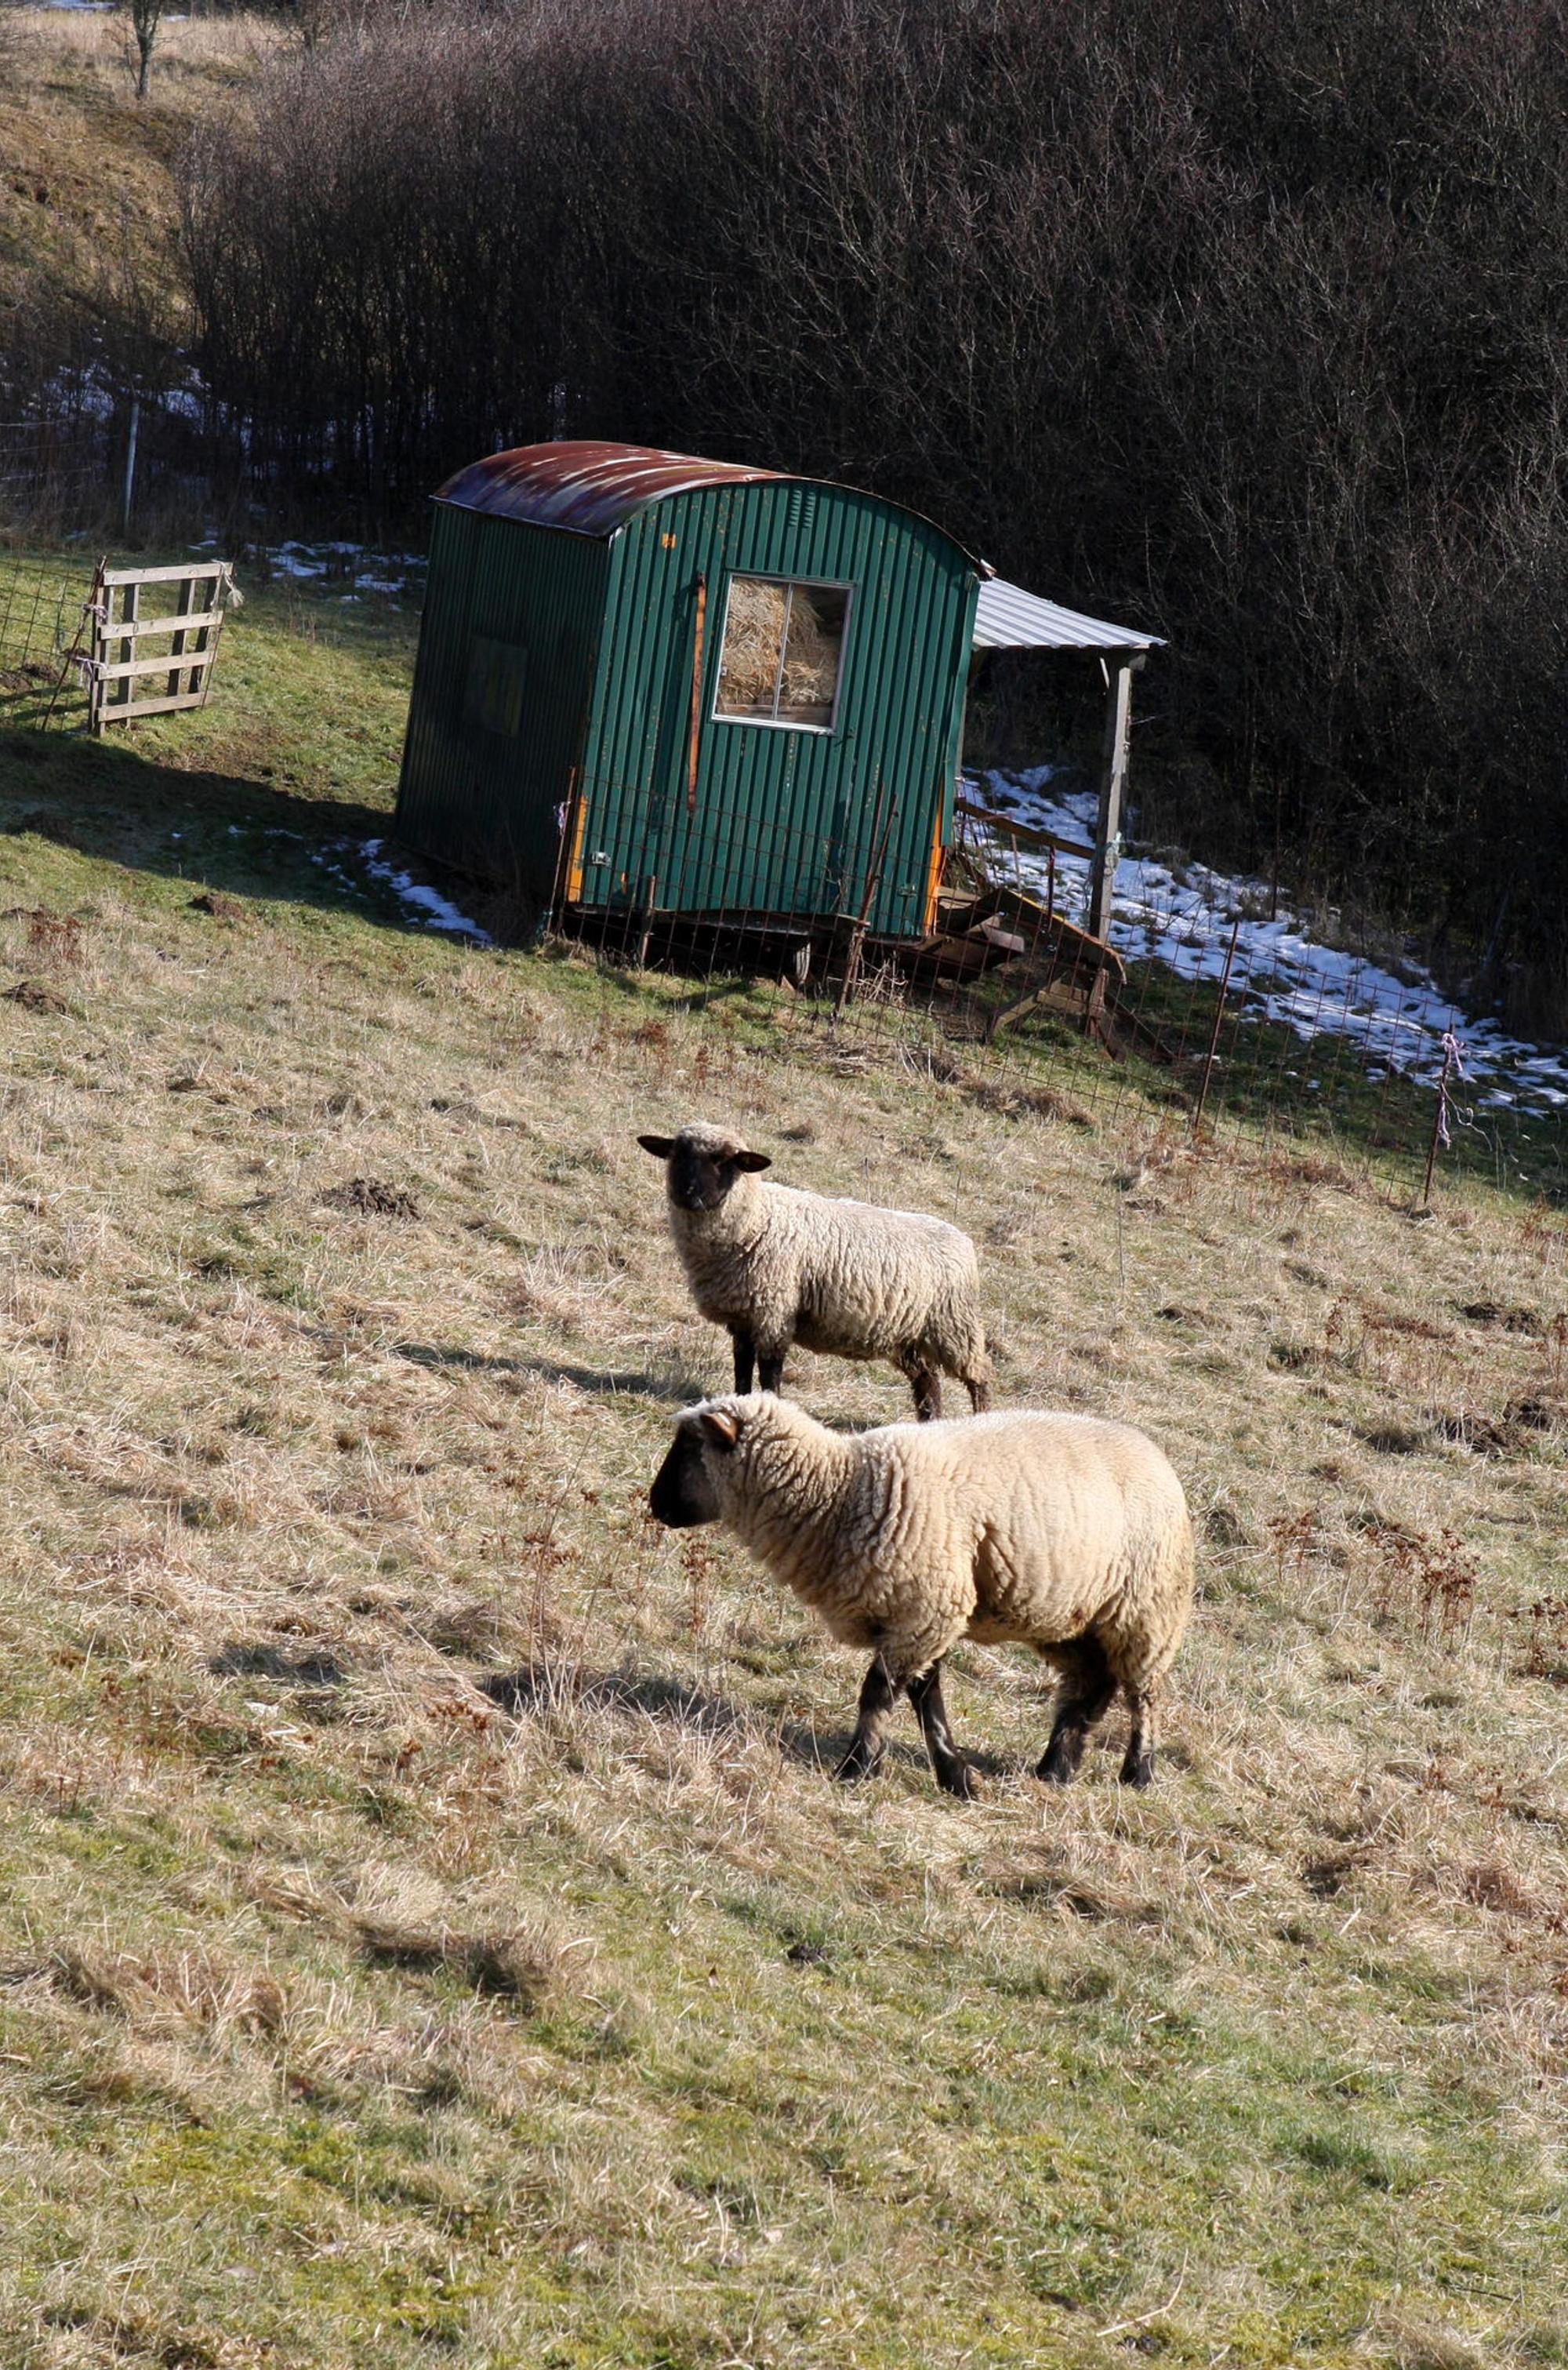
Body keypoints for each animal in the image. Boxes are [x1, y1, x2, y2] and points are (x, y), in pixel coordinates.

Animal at [636, 1121, 992, 1420]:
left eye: (725, 1161)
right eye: (677, 1154)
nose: (687, 1194)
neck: (757, 1220)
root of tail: (963, 1240)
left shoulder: (774, 1311)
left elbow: (769, 1372)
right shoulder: (744, 1317)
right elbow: (742, 1369)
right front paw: (740, 1405)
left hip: (954, 1326)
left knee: (979, 1375)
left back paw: (981, 1418)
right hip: (910, 1336)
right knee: (928, 1380)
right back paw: (929, 1423)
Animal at [649, 1392, 1193, 1796]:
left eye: (688, 1449)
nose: (655, 1505)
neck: (838, 1494)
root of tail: (1156, 1454)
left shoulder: (924, 1611)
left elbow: (879, 1693)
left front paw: (856, 1768)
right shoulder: (919, 1617)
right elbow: (924, 1696)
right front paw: (954, 1777)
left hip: (1148, 1611)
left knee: (1144, 1694)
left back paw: (1138, 1774)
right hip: (1074, 1618)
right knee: (1089, 1688)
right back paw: (1055, 1770)